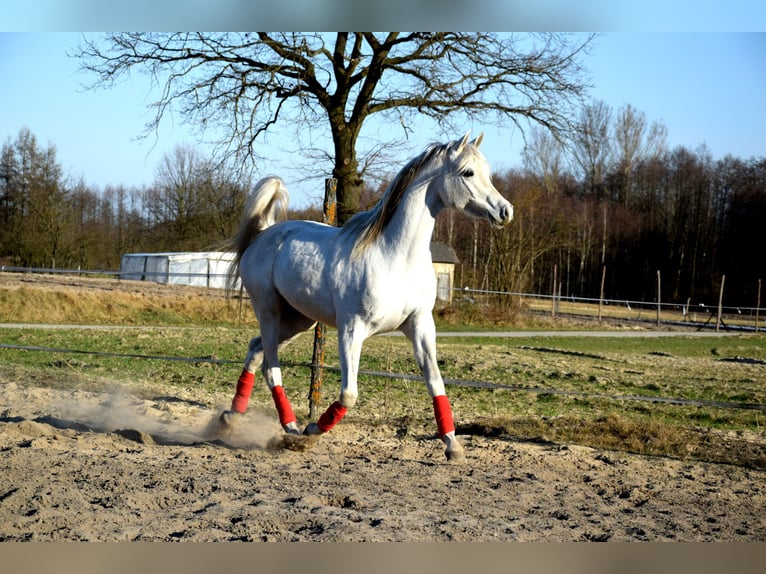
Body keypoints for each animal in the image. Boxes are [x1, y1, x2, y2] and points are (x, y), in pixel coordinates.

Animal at [219, 132, 513, 461]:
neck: (395, 257)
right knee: (271, 368)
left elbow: (435, 382)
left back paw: (233, 418)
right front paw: (312, 432)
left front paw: (453, 446)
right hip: (268, 310)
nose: (505, 212)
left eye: (487, 172)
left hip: (298, 321)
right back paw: (292, 431)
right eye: (468, 173)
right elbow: (349, 394)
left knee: (255, 350)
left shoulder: (420, 325)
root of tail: (264, 234)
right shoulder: (351, 330)